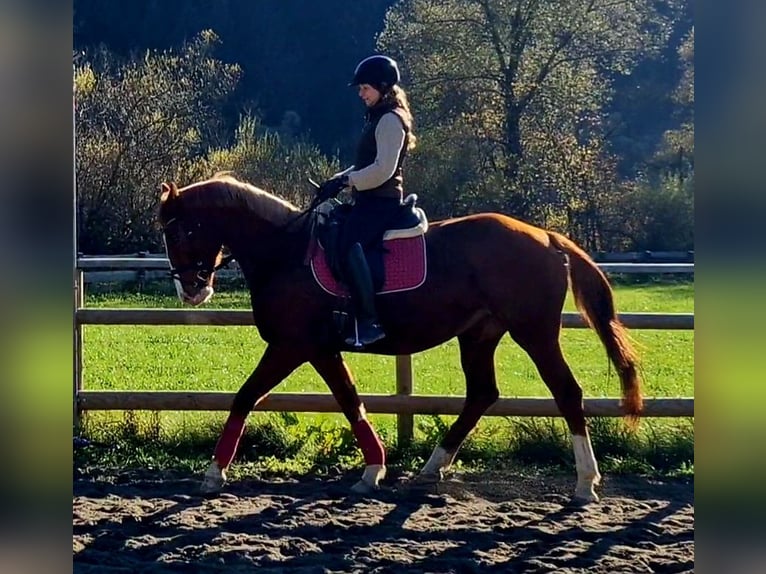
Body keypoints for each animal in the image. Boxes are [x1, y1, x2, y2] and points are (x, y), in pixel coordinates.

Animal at [160, 174, 640, 504]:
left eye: (179, 231)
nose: (191, 290)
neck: (285, 251)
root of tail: (547, 236)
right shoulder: (322, 349)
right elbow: (350, 401)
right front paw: (373, 471)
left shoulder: (292, 346)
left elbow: (245, 396)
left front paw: (213, 473)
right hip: (479, 334)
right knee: (482, 394)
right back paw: (433, 466)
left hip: (534, 332)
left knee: (566, 392)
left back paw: (585, 482)